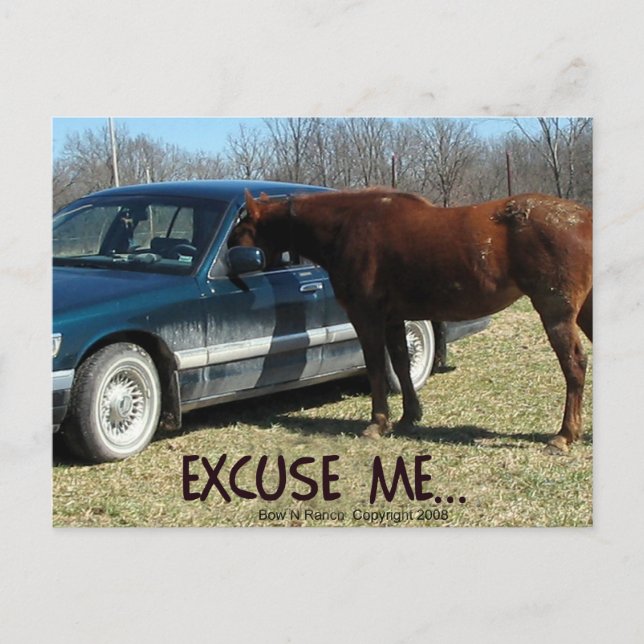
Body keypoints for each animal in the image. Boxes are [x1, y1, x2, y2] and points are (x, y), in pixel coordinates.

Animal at [230, 188, 592, 454]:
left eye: (241, 229)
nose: (231, 263)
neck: (347, 226)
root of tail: (584, 217)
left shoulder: (367, 317)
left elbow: (376, 367)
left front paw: (377, 423)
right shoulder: (394, 318)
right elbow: (402, 364)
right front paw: (408, 416)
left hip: (556, 313)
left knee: (574, 365)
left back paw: (564, 435)